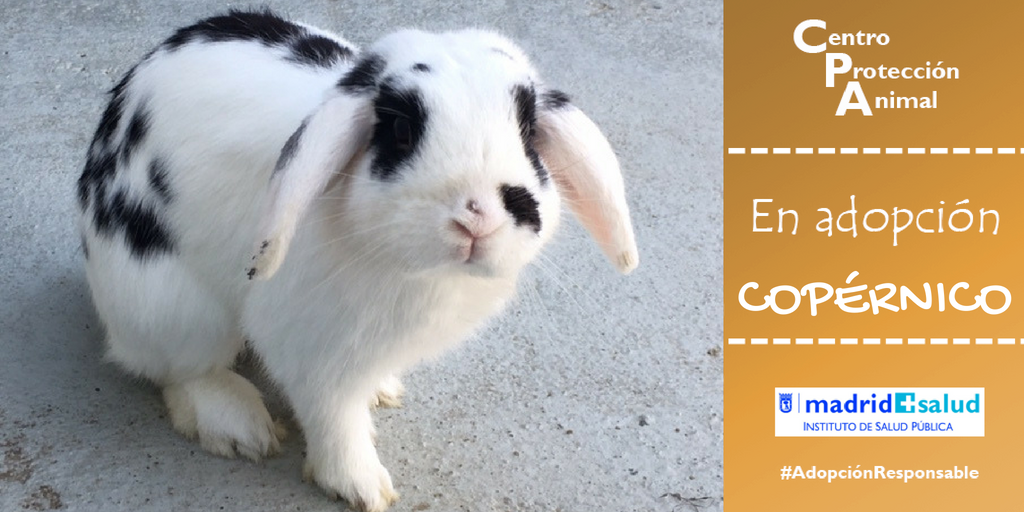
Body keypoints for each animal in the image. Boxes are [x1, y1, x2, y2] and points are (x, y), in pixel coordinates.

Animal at [77, 9, 638, 512]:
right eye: (403, 131)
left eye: (528, 134)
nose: (477, 217)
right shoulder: (314, 353)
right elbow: (334, 421)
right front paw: (361, 487)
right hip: (173, 308)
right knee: (178, 372)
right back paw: (240, 428)